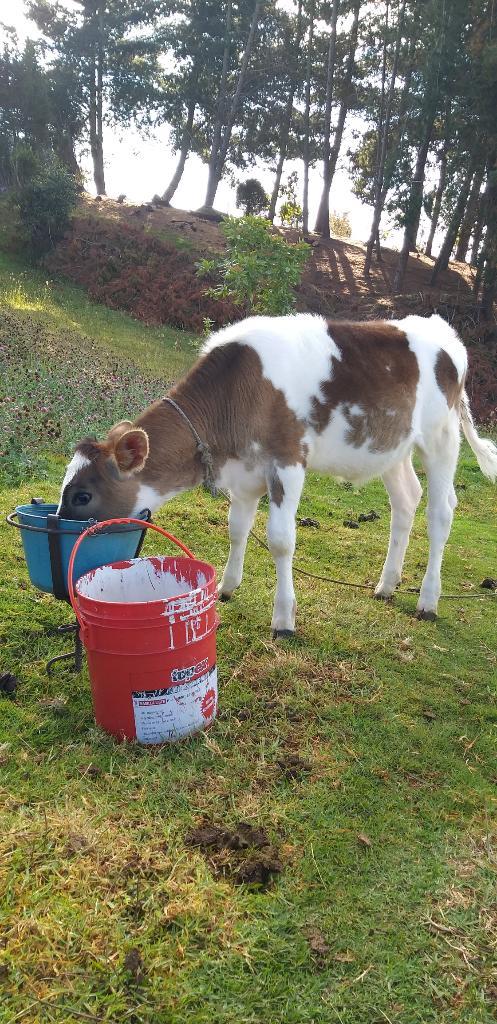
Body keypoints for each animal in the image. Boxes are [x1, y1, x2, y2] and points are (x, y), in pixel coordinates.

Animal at [59, 313, 495, 630]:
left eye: (83, 495)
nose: (60, 528)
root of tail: (441, 329)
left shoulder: (287, 461)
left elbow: (281, 541)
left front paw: (284, 618)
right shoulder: (244, 471)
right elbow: (237, 529)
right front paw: (226, 587)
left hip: (441, 437)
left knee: (440, 512)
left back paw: (428, 599)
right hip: (391, 446)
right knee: (406, 501)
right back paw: (386, 585)